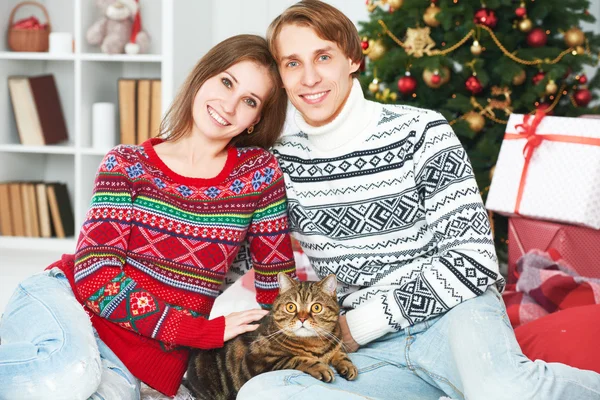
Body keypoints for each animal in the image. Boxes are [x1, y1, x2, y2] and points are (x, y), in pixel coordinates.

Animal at [185, 272, 358, 400]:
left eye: (316, 307)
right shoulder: (257, 362)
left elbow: (340, 353)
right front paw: (320, 367)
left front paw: (348, 365)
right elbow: (297, 358)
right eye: (291, 307)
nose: (302, 318)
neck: (315, 344)